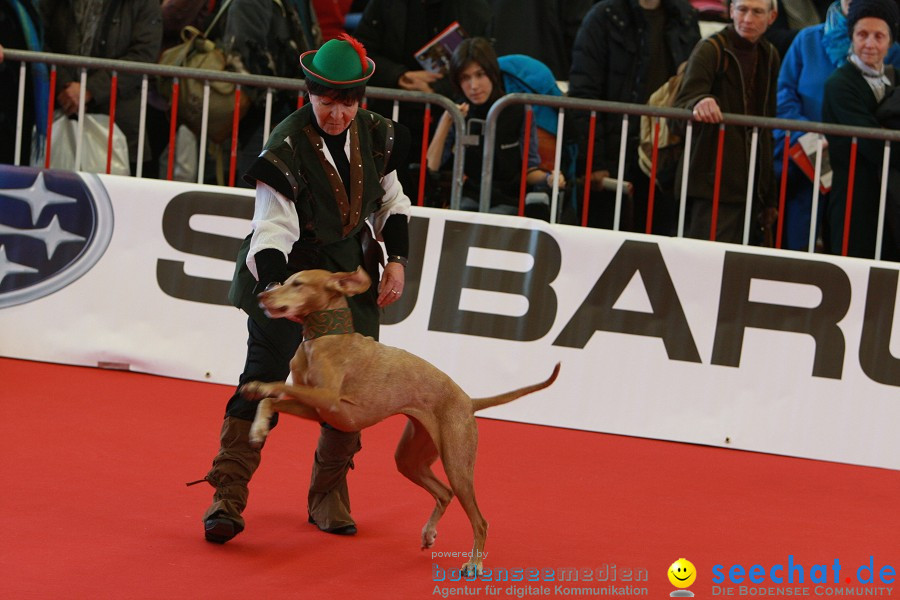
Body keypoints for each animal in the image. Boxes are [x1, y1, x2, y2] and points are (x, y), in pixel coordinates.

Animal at [243, 268, 560, 576]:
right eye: (284, 281)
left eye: (298, 284)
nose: (261, 295)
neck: (324, 339)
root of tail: (469, 401)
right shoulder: (317, 410)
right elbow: (270, 401)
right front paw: (258, 428)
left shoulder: (328, 399)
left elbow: (274, 387)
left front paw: (258, 386)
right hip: (409, 458)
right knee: (443, 493)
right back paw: (429, 534)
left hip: (458, 466)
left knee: (480, 520)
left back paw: (475, 563)